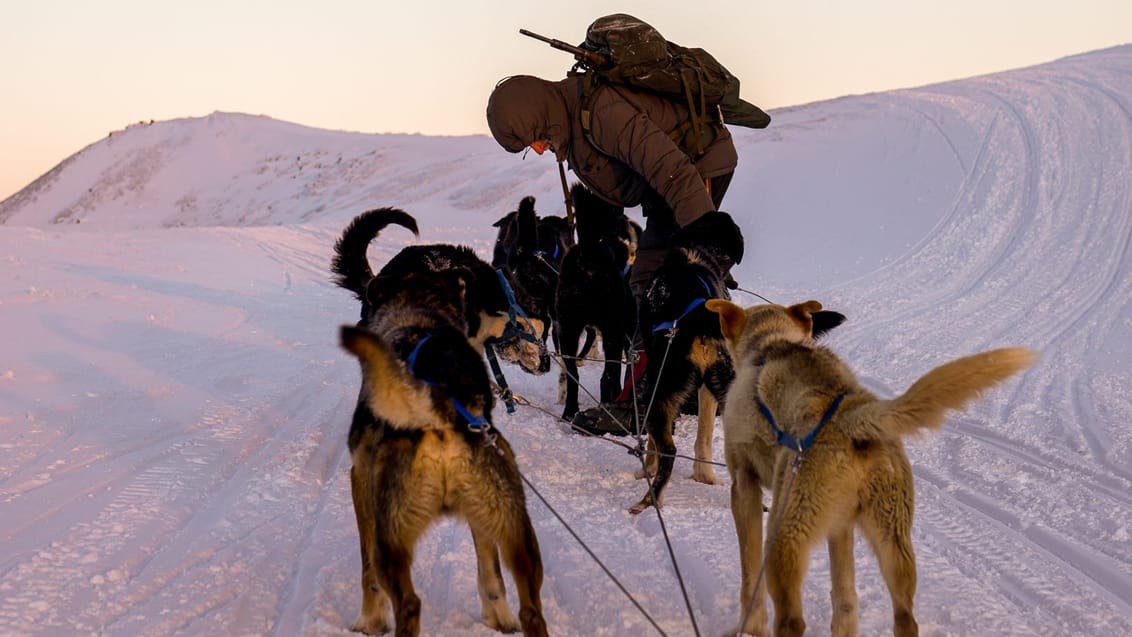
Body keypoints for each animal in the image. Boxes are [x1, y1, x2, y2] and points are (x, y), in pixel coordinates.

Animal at [710, 300, 1036, 637]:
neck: (771, 343)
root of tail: (851, 415)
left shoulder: (744, 487)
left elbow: (750, 575)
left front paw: (749, 627)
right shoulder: (841, 526)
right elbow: (844, 598)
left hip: (785, 533)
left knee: (792, 618)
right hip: (893, 542)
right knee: (900, 616)